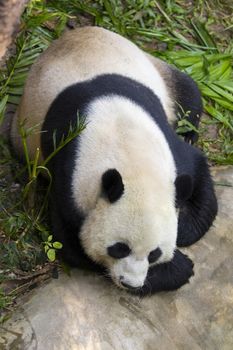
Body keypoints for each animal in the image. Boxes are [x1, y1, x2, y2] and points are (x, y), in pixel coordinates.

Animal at [10, 26, 218, 296]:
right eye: (119, 248)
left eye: (153, 254)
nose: (130, 283)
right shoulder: (69, 177)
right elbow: (72, 244)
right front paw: (180, 268)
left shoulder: (171, 151)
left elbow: (197, 172)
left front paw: (181, 226)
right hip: (24, 132)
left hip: (157, 71)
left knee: (188, 93)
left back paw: (189, 130)